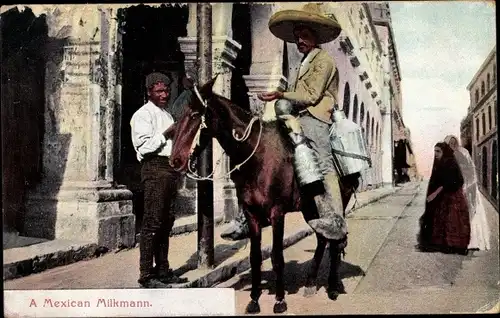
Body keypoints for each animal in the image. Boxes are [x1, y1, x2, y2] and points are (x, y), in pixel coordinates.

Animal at [168, 77, 360, 314]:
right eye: (177, 114)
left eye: (195, 114)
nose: (175, 161)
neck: (256, 155)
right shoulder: (252, 214)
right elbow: (256, 256)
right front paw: (254, 300)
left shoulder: (277, 213)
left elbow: (277, 257)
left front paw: (279, 300)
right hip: (310, 208)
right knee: (323, 238)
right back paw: (310, 283)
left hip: (338, 199)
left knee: (335, 241)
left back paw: (333, 287)